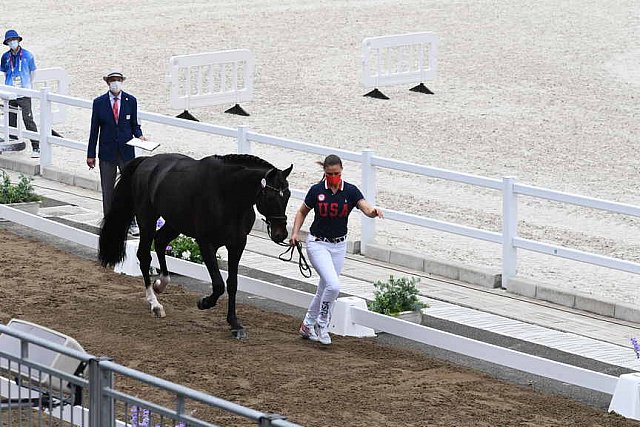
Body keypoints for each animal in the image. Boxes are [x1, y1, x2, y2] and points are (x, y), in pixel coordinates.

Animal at [97, 153, 292, 338]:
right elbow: (219, 284)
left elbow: (232, 284)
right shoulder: (206, 243)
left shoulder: (237, 245)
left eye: (288, 195)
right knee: (144, 256)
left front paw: (234, 324)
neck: (227, 195)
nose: (281, 234)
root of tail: (148, 161)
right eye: (271, 196)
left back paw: (161, 284)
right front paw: (204, 303)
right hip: (147, 220)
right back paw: (155, 304)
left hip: (174, 223)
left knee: (160, 242)